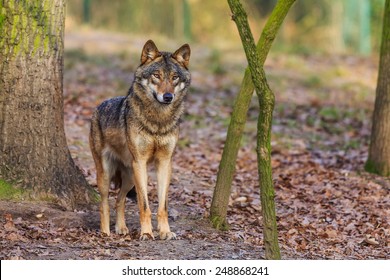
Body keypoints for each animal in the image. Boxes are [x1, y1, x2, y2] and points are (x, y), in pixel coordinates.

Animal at [88, 40, 192, 241]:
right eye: (156, 76)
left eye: (174, 77)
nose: (168, 97)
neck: (158, 121)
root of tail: (98, 107)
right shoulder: (141, 162)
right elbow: (144, 205)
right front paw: (146, 233)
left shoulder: (164, 163)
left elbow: (162, 206)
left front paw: (165, 232)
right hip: (107, 174)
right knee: (104, 202)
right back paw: (105, 232)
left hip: (130, 176)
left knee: (119, 200)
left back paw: (121, 228)